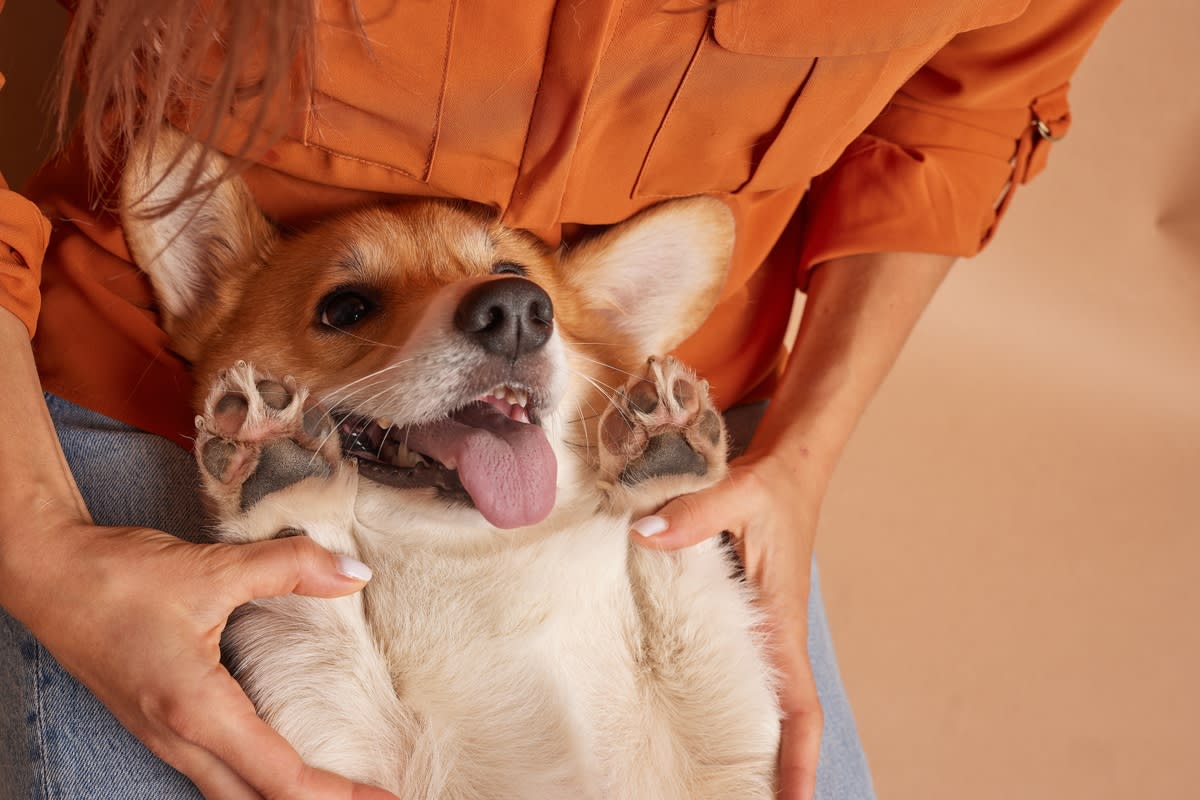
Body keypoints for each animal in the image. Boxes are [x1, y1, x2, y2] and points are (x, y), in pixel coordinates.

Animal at [119, 128, 777, 796]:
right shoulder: (354, 760)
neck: (480, 555)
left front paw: (665, 458)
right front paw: (278, 471)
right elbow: (316, 611)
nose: (516, 309)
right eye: (345, 308)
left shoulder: (725, 749)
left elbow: (683, 573)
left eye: (515, 273)